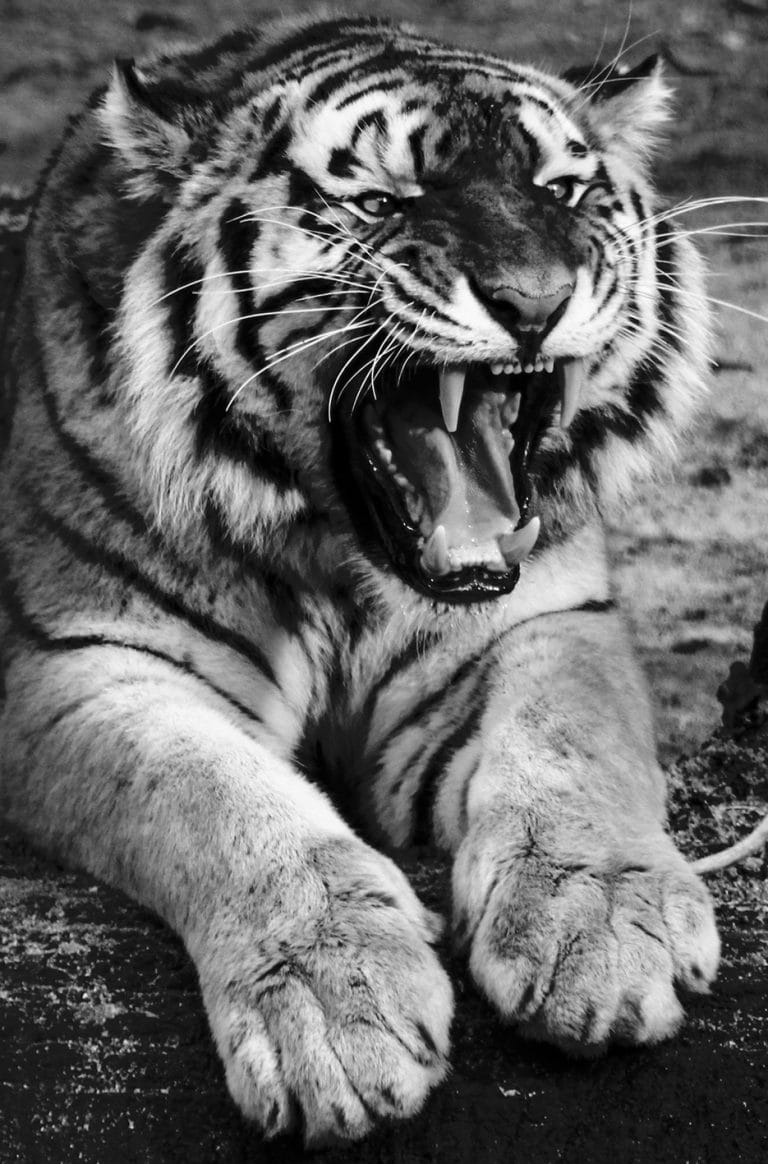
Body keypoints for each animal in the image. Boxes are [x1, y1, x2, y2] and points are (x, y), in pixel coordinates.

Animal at [0, 12, 721, 1145]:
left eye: (562, 191)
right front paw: (336, 1013)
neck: (345, 558)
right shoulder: (85, 663)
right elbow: (220, 797)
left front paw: (600, 926)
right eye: (384, 203)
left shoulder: (546, 620)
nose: (535, 302)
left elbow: (573, 744)